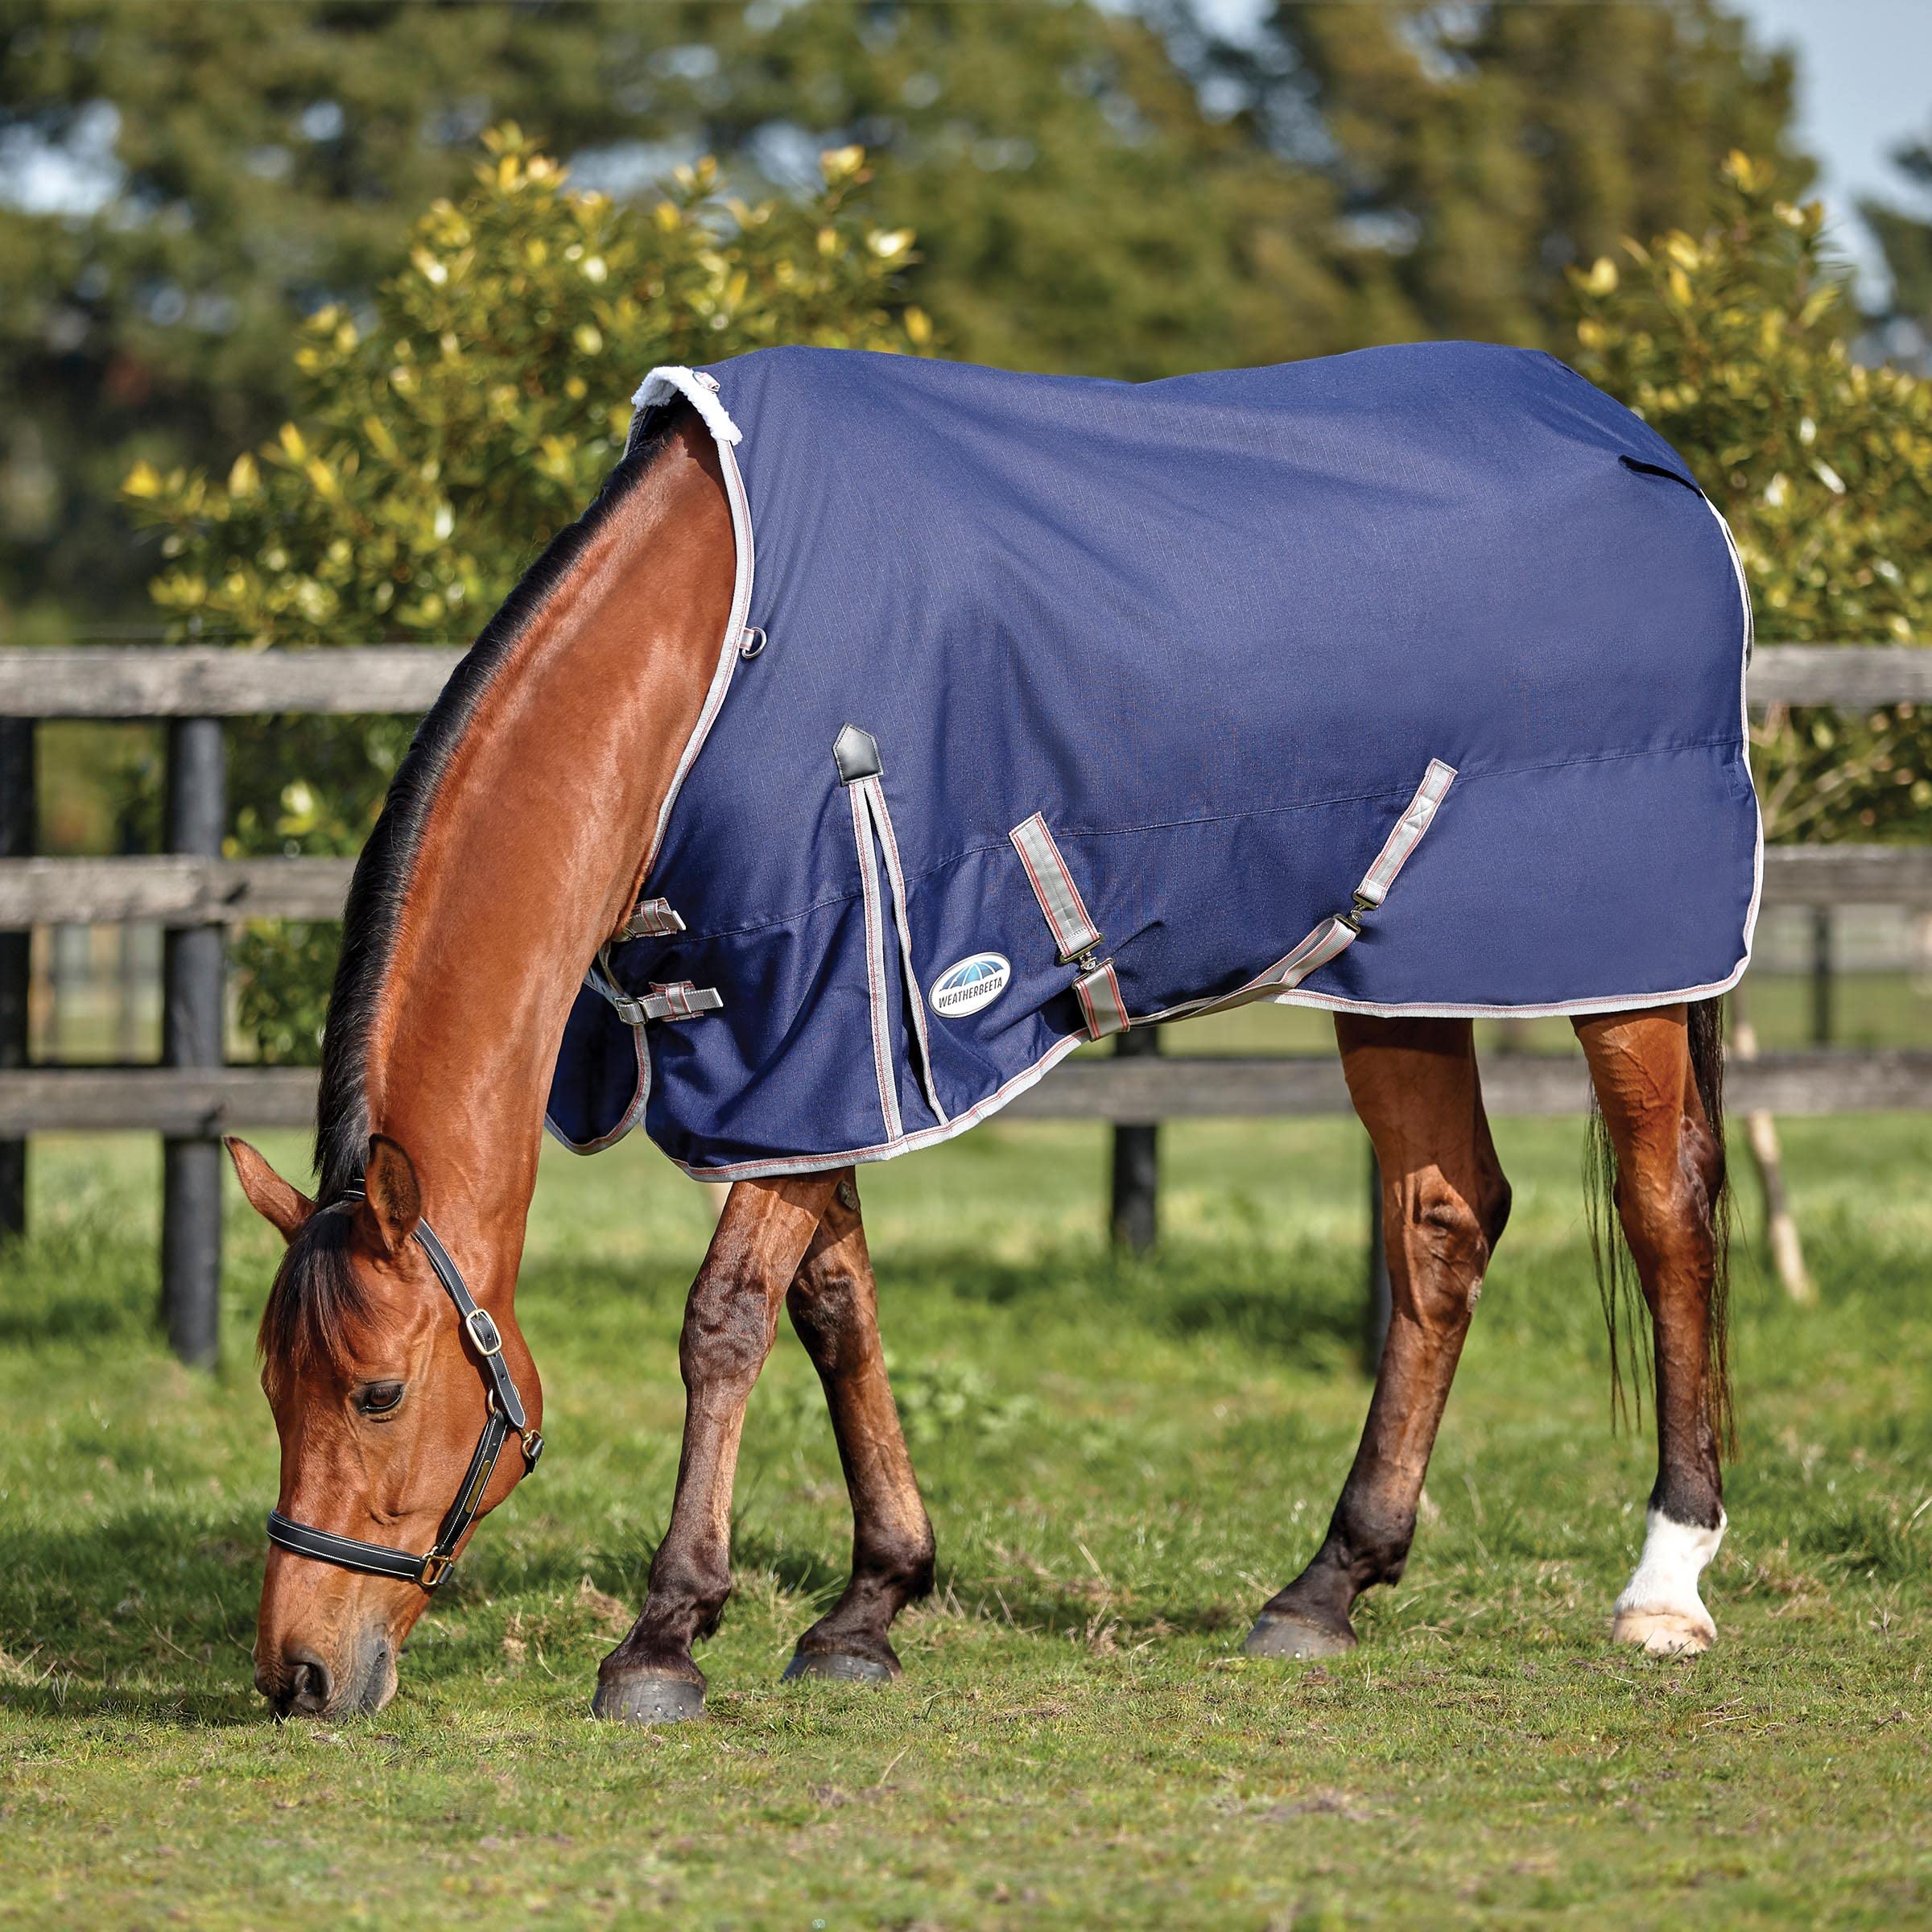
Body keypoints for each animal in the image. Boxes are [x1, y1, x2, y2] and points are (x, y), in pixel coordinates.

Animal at [229, 346, 1747, 1721]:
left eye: (376, 1392)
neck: (702, 660)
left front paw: (665, 1638)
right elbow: (831, 1304)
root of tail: (1639, 448)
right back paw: (1326, 1588)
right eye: (268, 1389)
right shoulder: (805, 1049)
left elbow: (725, 1321)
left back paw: (1666, 1582)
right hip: (1389, 980)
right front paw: (871, 1604)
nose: (299, 1676)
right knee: (1445, 1221)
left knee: (1665, 1203)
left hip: (1621, 961)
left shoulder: (826, 1018)